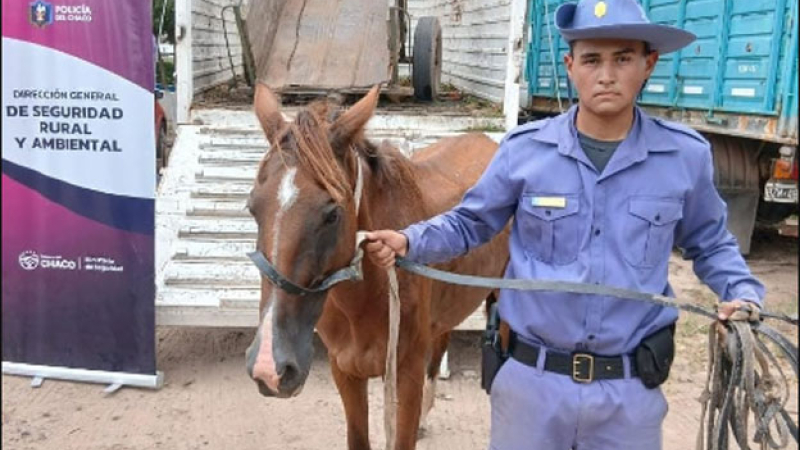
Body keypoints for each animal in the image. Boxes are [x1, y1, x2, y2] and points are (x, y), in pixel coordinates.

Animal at [244, 83, 510, 450]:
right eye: (252, 207)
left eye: (333, 213)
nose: (270, 367)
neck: (367, 298)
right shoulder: (345, 370)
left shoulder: (405, 374)